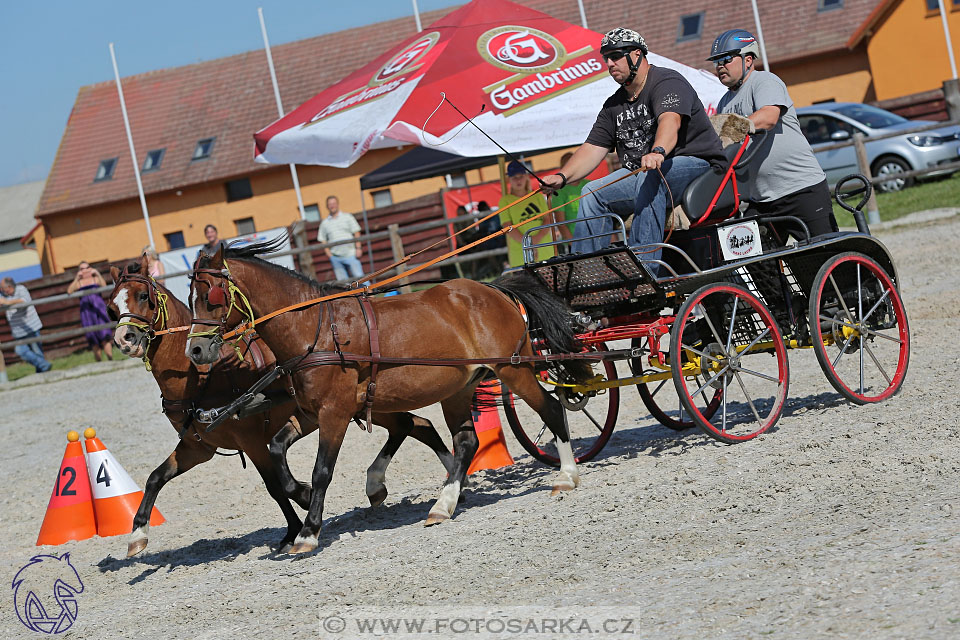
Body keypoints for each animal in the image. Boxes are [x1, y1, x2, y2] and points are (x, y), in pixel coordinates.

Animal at [109, 255, 454, 556]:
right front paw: (137, 535)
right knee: (415, 425)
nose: (125, 339)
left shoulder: (251, 440)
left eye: (143, 296)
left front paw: (297, 520)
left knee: (412, 425)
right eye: (113, 306)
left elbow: (275, 486)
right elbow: (155, 477)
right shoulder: (198, 447)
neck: (202, 377)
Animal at [186, 240, 592, 556]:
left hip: (514, 369)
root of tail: (494, 290)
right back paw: (443, 504)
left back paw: (566, 476)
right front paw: (301, 495)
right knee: (465, 442)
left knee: (551, 409)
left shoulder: (334, 413)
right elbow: (276, 451)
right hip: (459, 388)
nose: (195, 350)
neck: (316, 329)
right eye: (190, 298)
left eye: (210, 297)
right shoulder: (312, 411)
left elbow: (322, 471)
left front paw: (308, 533)